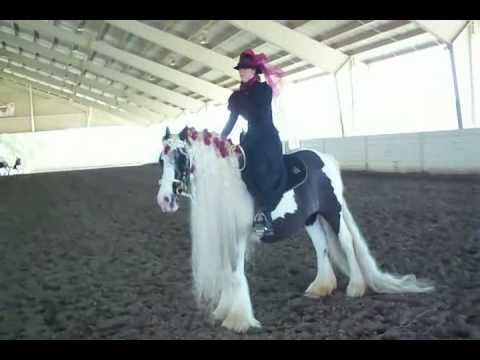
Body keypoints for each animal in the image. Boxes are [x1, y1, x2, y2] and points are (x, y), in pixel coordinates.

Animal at [158, 126, 436, 332]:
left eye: (181, 156)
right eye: (161, 160)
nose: (164, 200)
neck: (228, 182)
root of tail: (325, 159)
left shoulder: (237, 235)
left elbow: (236, 274)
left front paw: (238, 320)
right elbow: (229, 272)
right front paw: (223, 311)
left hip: (332, 211)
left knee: (345, 242)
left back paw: (356, 288)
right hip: (311, 218)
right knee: (321, 246)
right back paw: (320, 288)